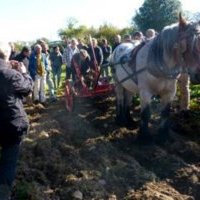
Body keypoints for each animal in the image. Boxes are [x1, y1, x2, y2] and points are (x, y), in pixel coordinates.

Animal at [110, 13, 200, 143]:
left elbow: (165, 113)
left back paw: (130, 121)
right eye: (188, 44)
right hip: (118, 82)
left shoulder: (169, 92)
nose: (198, 75)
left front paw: (163, 136)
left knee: (128, 99)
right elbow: (146, 114)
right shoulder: (145, 92)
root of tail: (119, 46)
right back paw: (120, 120)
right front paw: (144, 138)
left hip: (129, 84)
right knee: (120, 98)